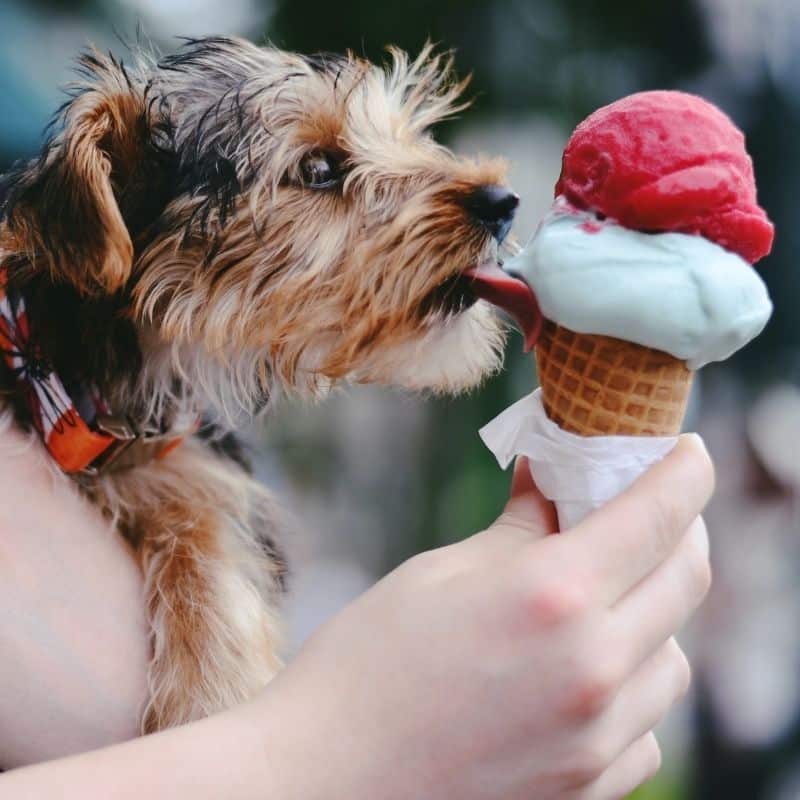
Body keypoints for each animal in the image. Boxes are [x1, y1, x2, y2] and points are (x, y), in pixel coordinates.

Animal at [0, 39, 520, 736]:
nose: (503, 200)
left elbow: (200, 509)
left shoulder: (181, 451)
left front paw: (208, 686)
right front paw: (212, 693)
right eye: (319, 168)